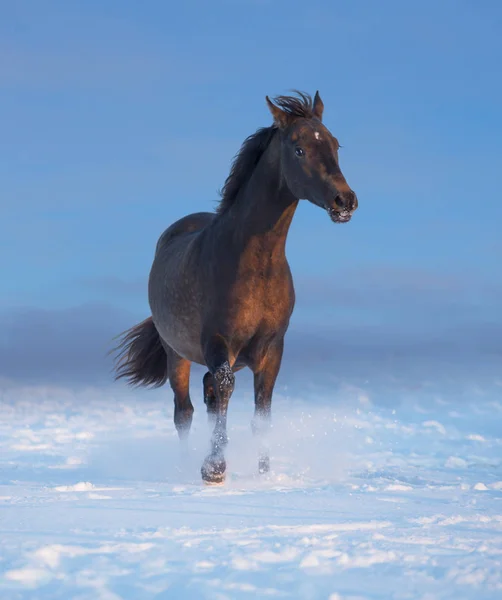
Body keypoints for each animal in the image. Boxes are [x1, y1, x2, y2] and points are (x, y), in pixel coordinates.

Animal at [113, 91, 356, 482]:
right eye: (299, 148)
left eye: (335, 145)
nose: (344, 201)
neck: (257, 265)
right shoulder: (218, 342)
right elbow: (223, 394)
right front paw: (213, 470)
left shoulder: (272, 349)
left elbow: (261, 413)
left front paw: (264, 474)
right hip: (177, 353)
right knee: (185, 411)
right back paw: (184, 466)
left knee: (209, 396)